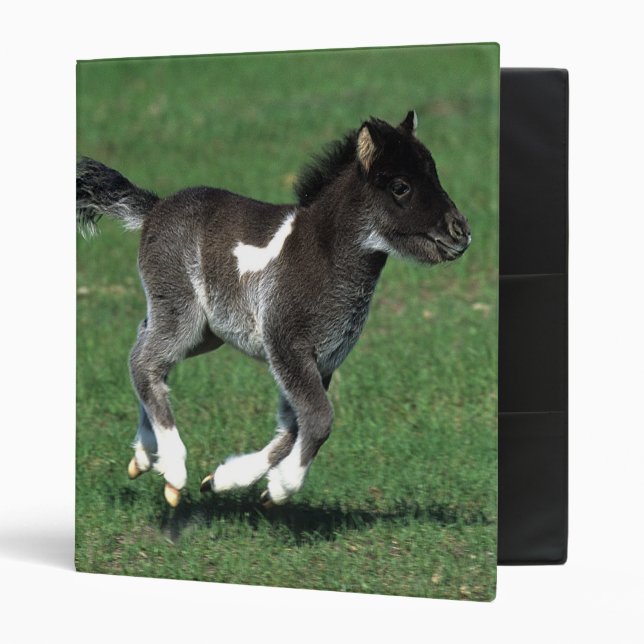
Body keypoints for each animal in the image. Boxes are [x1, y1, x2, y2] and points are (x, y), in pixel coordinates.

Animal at [76, 110, 471, 508]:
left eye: (434, 174)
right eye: (401, 186)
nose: (461, 232)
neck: (324, 255)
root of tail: (155, 208)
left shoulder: (322, 359)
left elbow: (293, 426)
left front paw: (224, 480)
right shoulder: (287, 345)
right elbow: (319, 418)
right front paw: (282, 486)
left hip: (205, 331)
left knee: (146, 350)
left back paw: (145, 455)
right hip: (182, 312)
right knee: (144, 363)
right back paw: (173, 470)